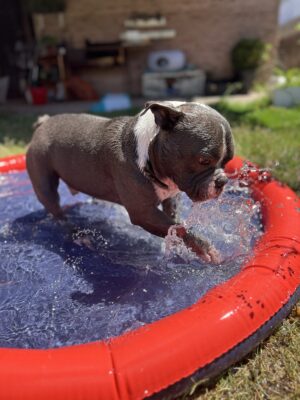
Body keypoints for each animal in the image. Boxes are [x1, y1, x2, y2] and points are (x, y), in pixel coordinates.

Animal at [26, 100, 234, 262]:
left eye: (228, 161)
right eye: (203, 160)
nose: (222, 181)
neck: (149, 152)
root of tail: (43, 124)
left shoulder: (170, 198)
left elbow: (175, 223)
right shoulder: (143, 213)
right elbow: (180, 229)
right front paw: (204, 248)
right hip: (44, 181)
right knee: (57, 211)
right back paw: (79, 235)